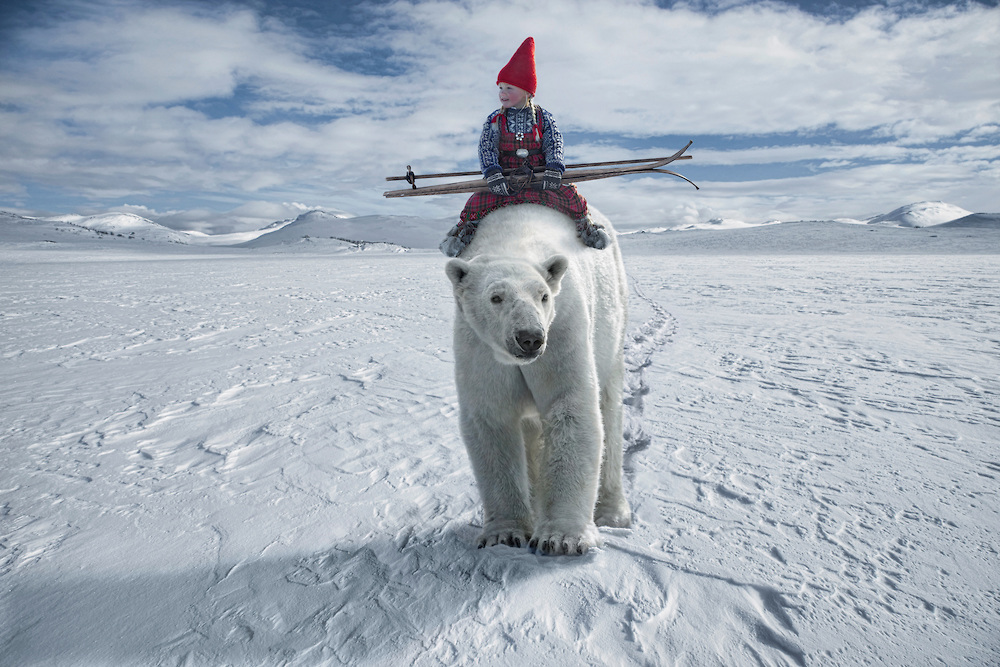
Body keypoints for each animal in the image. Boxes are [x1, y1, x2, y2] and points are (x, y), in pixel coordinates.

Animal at [445, 203, 631, 556]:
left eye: (542, 296)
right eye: (496, 297)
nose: (530, 338)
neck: (512, 241)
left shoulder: (563, 327)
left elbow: (569, 406)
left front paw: (562, 538)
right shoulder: (479, 346)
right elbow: (492, 418)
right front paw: (505, 534)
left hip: (612, 319)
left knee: (610, 410)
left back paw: (613, 513)